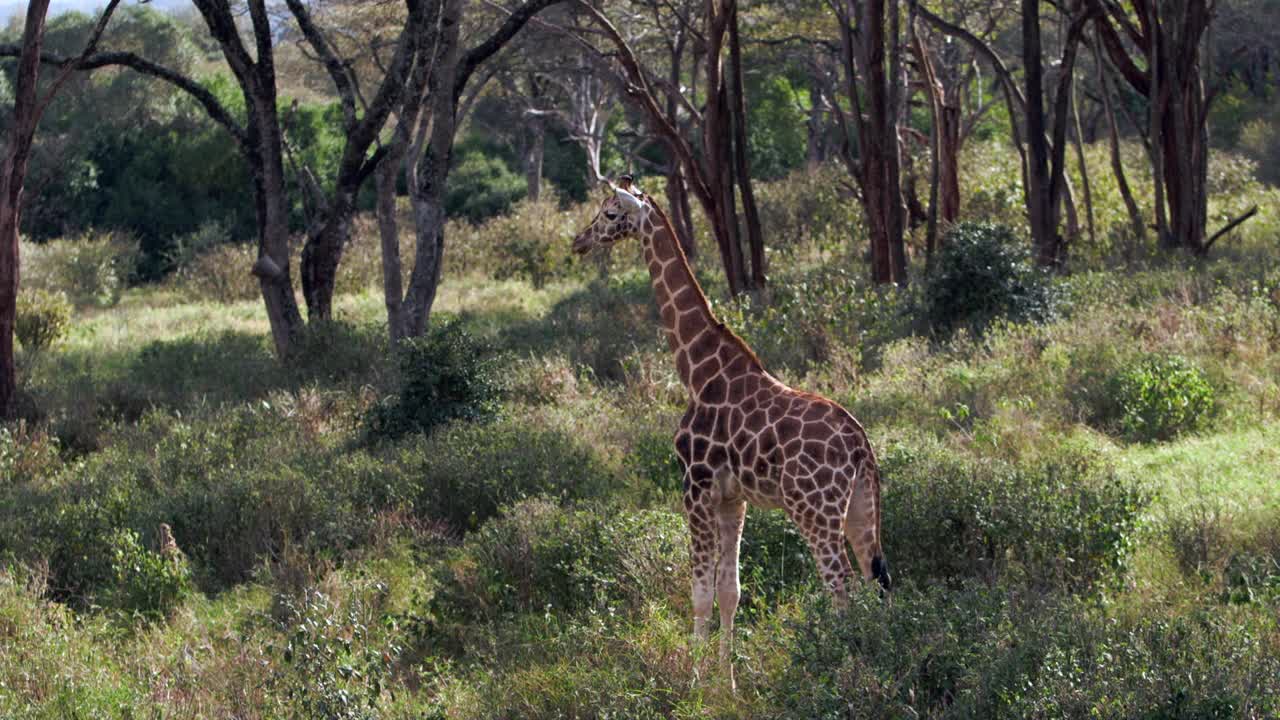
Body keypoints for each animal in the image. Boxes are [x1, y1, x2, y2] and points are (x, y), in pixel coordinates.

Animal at [570, 176, 890, 686]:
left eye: (609, 214)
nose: (579, 241)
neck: (697, 369)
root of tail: (861, 446)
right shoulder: (732, 498)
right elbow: (730, 591)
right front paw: (728, 680)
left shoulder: (695, 486)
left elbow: (699, 590)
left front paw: (696, 681)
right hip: (861, 506)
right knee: (876, 580)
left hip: (814, 510)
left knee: (841, 587)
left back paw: (840, 672)